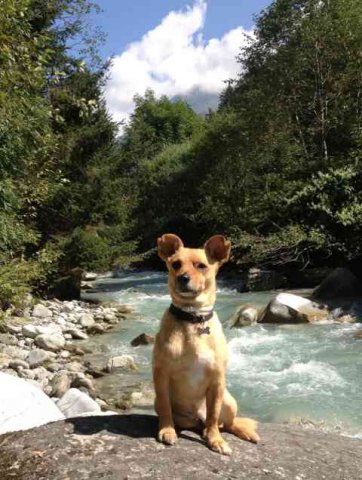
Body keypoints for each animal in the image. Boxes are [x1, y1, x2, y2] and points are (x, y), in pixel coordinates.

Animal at [151, 234, 258, 456]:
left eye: (201, 266)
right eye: (175, 264)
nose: (182, 277)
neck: (193, 318)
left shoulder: (217, 380)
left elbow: (213, 415)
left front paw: (215, 441)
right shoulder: (161, 375)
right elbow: (165, 408)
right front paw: (167, 431)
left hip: (229, 401)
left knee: (225, 424)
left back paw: (240, 432)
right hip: (171, 410)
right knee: (198, 424)